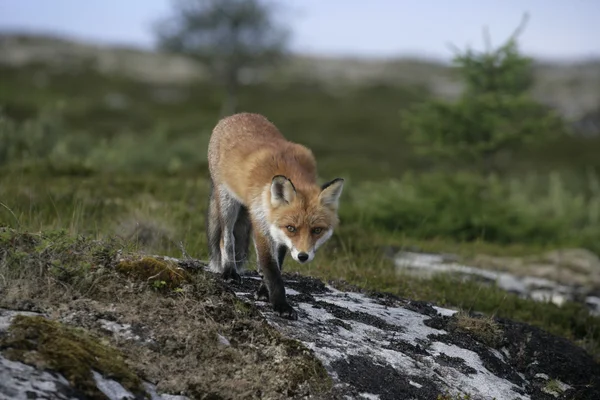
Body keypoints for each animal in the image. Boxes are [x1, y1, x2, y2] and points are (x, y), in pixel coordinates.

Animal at [209, 111, 344, 318]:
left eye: (317, 230)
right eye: (292, 228)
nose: (303, 256)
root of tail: (237, 115)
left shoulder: (278, 233)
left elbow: (277, 264)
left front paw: (264, 291)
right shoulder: (262, 227)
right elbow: (272, 270)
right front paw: (281, 304)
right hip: (227, 202)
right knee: (227, 239)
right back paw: (230, 272)